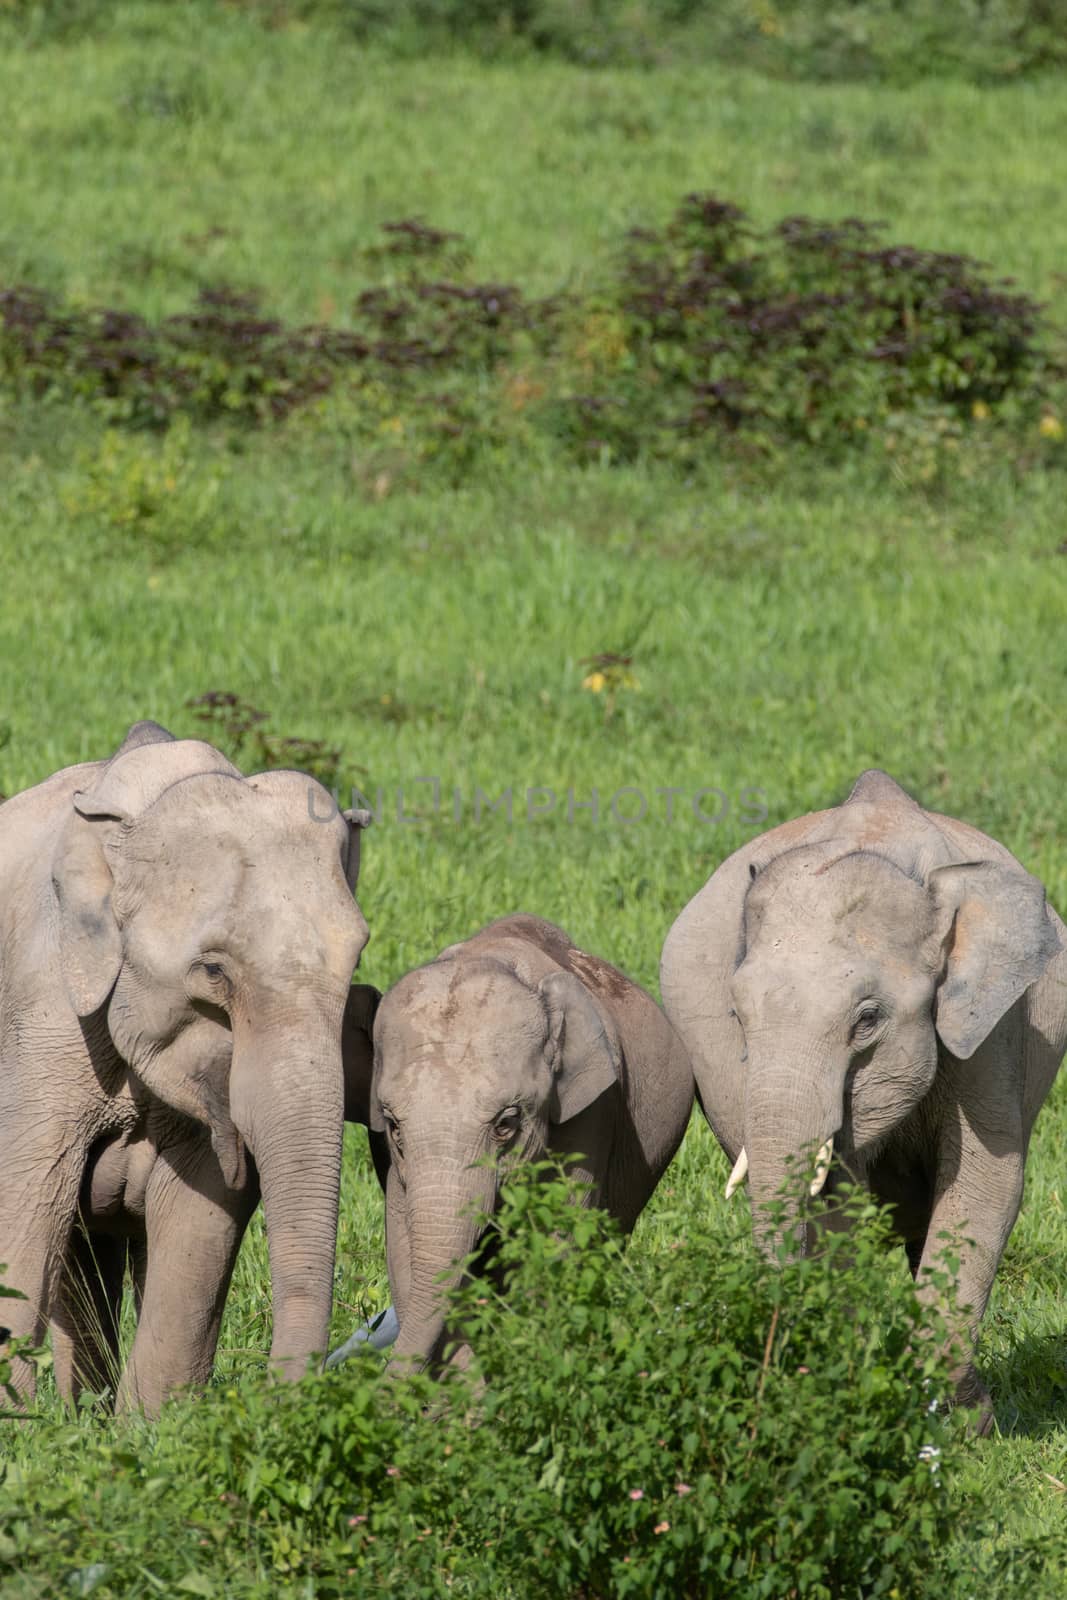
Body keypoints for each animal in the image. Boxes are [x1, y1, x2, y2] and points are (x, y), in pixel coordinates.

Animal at [0, 723, 377, 1414]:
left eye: (356, 959)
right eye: (213, 970)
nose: (276, 1394)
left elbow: (200, 1215)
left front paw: (147, 1428)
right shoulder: (41, 1021)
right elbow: (28, 1203)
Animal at [659, 768, 1067, 1433]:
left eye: (868, 1019)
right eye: (736, 1016)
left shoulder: (997, 1029)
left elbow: (986, 1184)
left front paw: (959, 1427)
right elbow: (836, 1200)